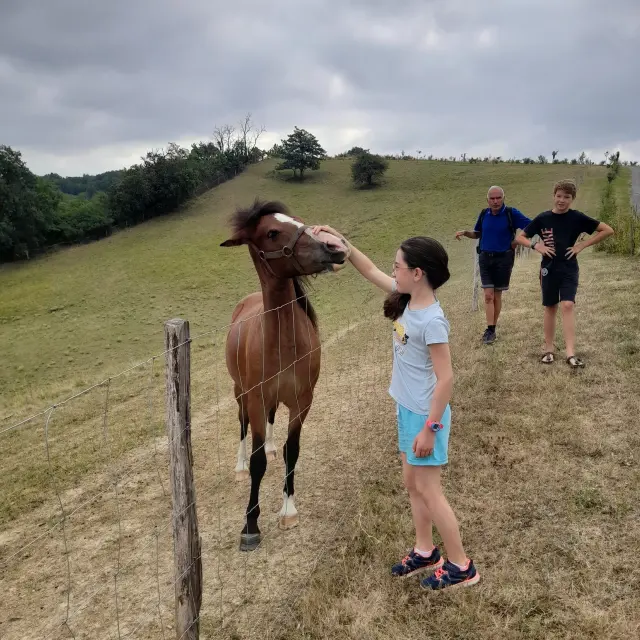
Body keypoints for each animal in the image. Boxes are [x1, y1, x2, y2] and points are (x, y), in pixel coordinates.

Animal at [220, 199, 348, 551]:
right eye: (272, 233)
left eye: (299, 220)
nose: (335, 248)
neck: (281, 342)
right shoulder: (255, 398)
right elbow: (257, 462)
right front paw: (250, 524)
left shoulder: (302, 401)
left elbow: (293, 451)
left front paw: (288, 509)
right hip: (240, 393)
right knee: (242, 427)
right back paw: (238, 466)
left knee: (271, 423)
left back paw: (272, 447)